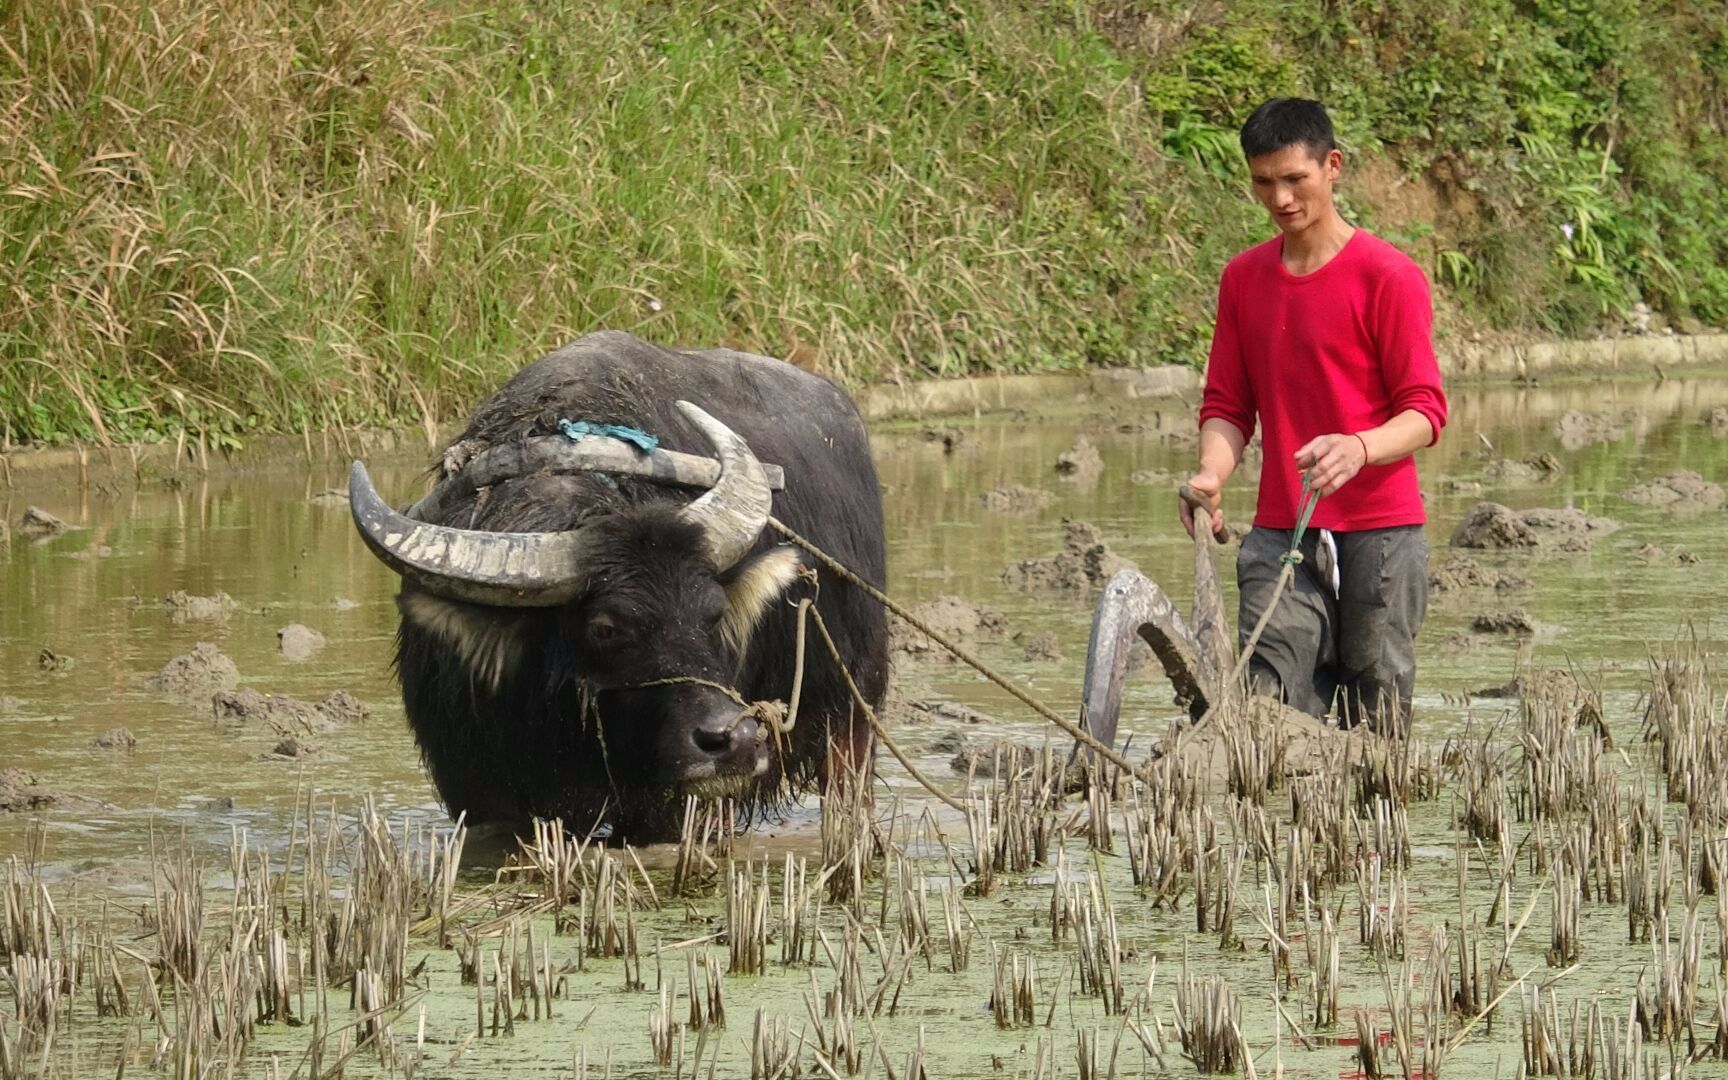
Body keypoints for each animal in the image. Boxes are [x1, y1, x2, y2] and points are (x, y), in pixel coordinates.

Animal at [350, 328, 891, 843]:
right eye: (605, 628)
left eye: (714, 614)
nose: (732, 740)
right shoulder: (479, 792)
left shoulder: (679, 807)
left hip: (853, 711)